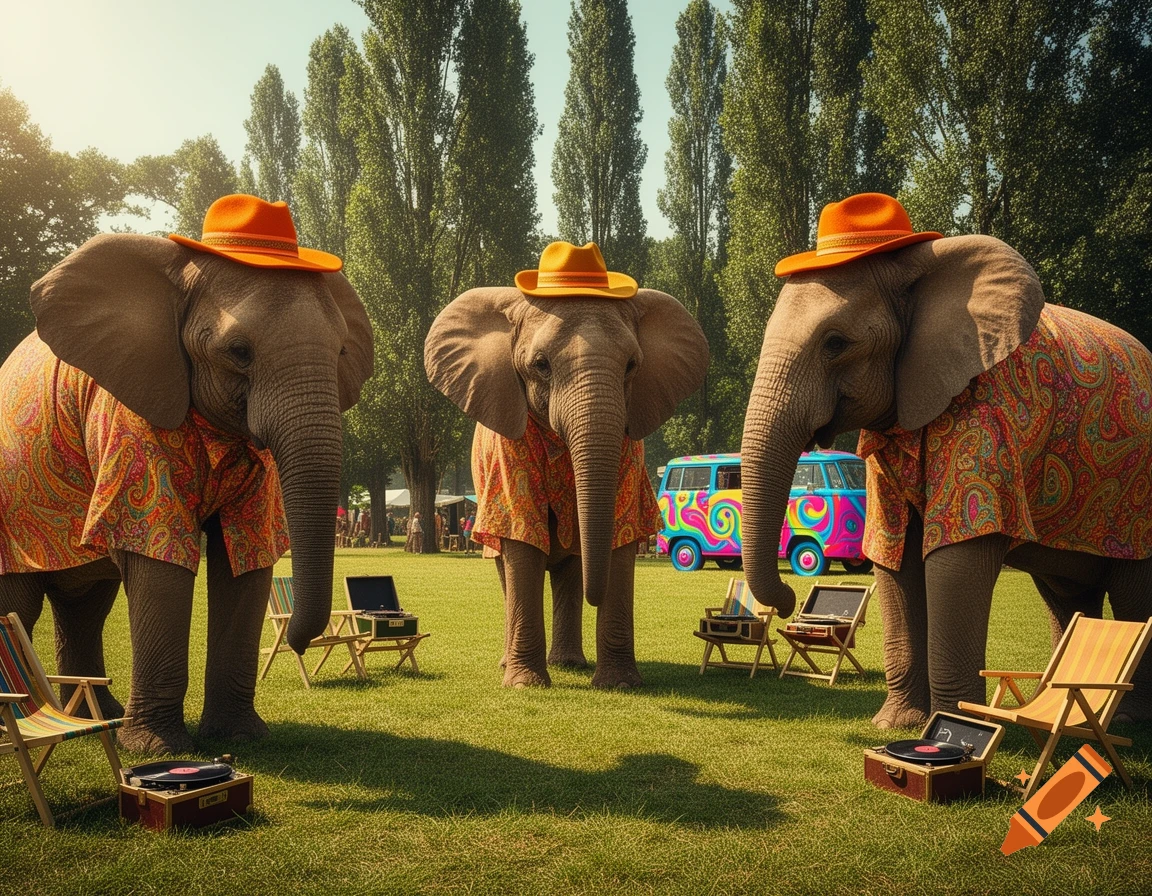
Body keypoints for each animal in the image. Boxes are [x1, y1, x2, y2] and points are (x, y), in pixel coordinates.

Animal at [0, 196, 373, 753]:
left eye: (343, 352)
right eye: (239, 352)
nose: (301, 642)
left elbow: (247, 556)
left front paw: (238, 737)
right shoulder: (130, 419)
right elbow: (159, 555)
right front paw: (158, 750)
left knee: (86, 603)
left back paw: (95, 716)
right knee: (19, 603)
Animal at [425, 245, 708, 688]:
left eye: (632, 365)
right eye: (540, 364)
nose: (598, 594)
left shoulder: (630, 443)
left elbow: (622, 531)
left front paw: (619, 684)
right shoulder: (510, 448)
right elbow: (521, 536)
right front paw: (525, 684)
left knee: (571, 571)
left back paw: (570, 663)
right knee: (504, 563)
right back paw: (515, 664)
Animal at [738, 192, 1152, 729]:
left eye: (836, 344)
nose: (790, 601)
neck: (914, 270)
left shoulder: (990, 415)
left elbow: (956, 556)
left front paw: (951, 726)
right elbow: (893, 554)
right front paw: (898, 724)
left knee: (1132, 592)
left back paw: (1125, 721)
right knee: (1065, 596)